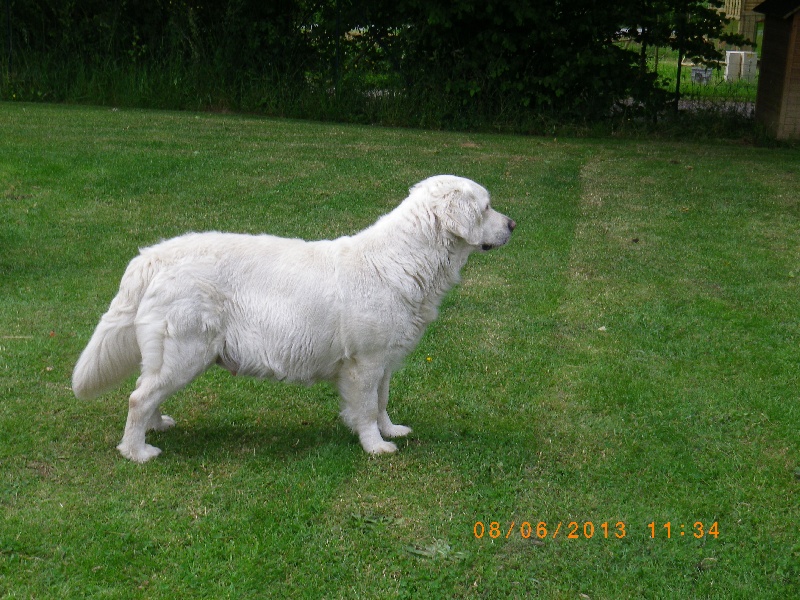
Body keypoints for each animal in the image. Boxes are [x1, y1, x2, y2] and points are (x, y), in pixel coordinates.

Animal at [72, 175, 515, 462]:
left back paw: (157, 425)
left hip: (174, 355)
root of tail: (152, 255)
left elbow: (382, 401)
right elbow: (365, 408)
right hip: (186, 351)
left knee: (147, 391)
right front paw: (375, 446)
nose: (513, 224)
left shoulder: (386, 361)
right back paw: (137, 452)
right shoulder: (365, 362)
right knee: (138, 397)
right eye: (486, 207)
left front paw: (391, 430)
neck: (406, 260)